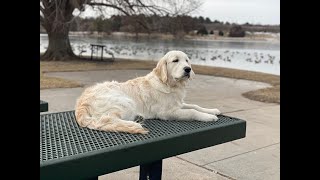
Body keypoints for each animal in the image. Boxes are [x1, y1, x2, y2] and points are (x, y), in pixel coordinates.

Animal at [74, 50, 220, 134]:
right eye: (175, 60)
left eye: (187, 60)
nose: (188, 69)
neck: (169, 85)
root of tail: (81, 103)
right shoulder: (166, 112)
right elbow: (192, 111)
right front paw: (208, 117)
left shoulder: (177, 104)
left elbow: (195, 106)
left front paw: (212, 110)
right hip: (125, 102)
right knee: (106, 120)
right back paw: (133, 124)